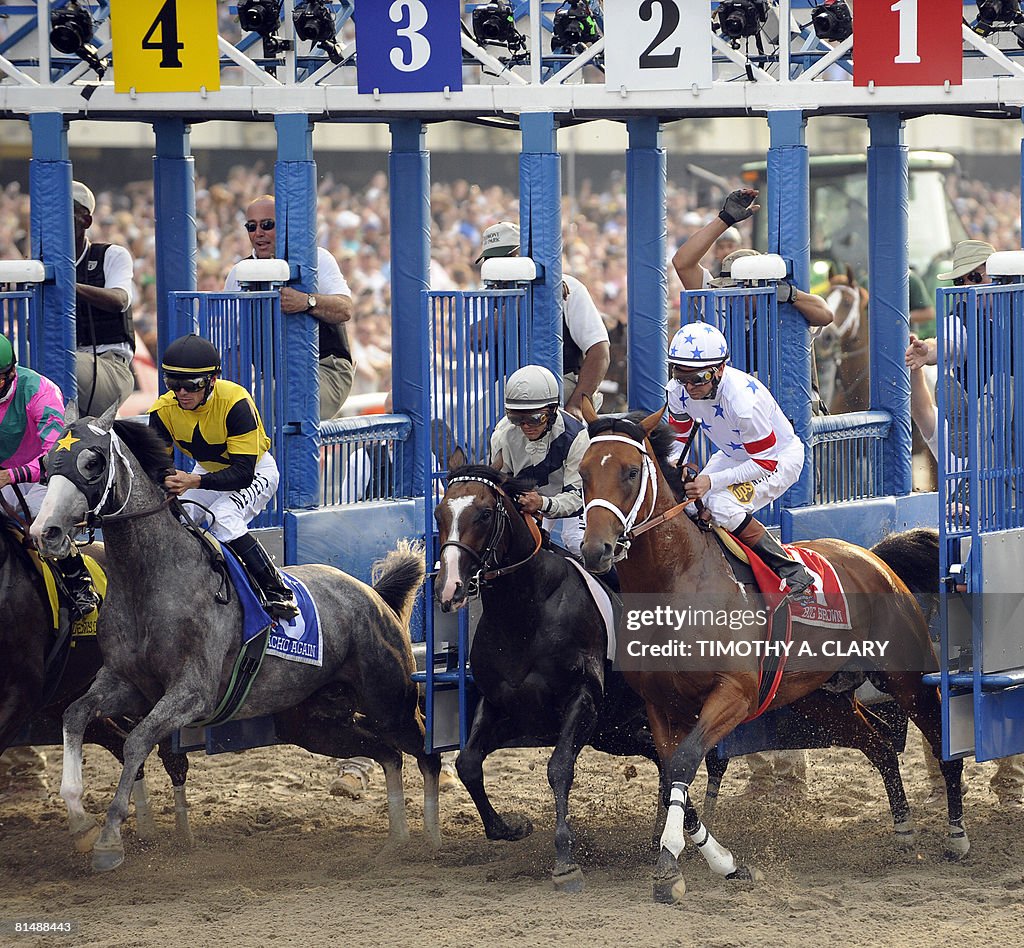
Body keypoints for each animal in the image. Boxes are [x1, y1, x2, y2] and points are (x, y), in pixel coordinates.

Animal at [30, 405, 440, 872]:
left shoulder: (192, 693)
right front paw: (80, 821)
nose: (46, 532)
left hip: (388, 700)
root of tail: (375, 598)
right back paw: (397, 841)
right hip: (316, 723)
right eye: (48, 464)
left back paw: (431, 839)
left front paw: (109, 839)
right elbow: (76, 715)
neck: (150, 578)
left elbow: (136, 742)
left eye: (92, 462)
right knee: (389, 754)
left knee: (425, 753)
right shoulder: (126, 684)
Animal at [432, 464, 663, 892]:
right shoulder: (503, 706)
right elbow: (468, 763)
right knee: (663, 756)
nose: (449, 587)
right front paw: (510, 827)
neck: (525, 611)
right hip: (616, 732)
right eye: (440, 514)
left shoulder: (581, 701)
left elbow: (558, 768)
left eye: (484, 514)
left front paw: (565, 860)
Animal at [581, 405, 962, 905]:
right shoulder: (661, 706)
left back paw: (957, 834)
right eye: (582, 473)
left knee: (940, 741)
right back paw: (903, 829)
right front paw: (724, 864)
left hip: (907, 677)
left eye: (629, 472)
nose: (596, 550)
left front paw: (670, 866)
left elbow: (684, 763)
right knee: (879, 744)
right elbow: (672, 780)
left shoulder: (734, 696)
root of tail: (875, 557)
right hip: (822, 699)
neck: (680, 580)